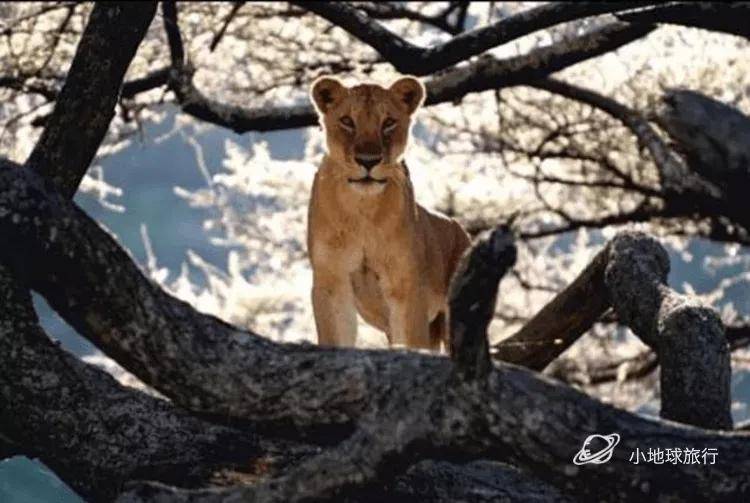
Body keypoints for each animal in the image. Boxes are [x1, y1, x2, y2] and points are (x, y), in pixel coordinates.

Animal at [306, 76, 470, 350]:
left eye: (389, 122)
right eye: (347, 121)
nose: (368, 160)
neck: (362, 208)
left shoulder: (406, 287)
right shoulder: (331, 282)